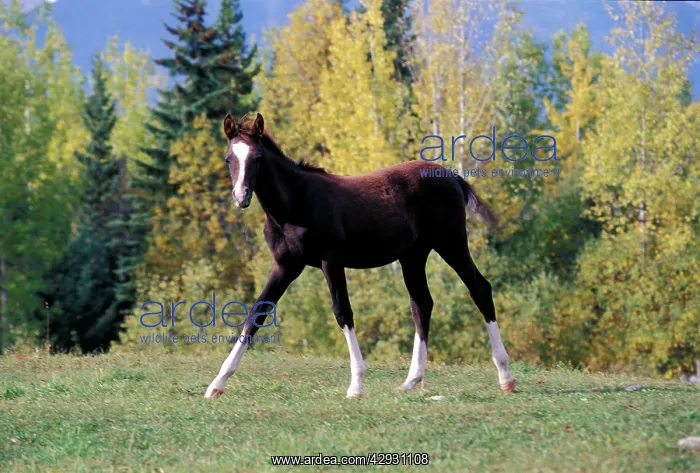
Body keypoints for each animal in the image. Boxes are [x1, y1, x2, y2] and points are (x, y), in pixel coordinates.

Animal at [204, 113, 515, 399]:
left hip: (451, 243)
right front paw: (217, 384)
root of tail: (451, 176)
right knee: (422, 304)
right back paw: (411, 381)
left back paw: (505, 376)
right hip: (413, 256)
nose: (241, 197)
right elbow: (256, 313)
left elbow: (343, 312)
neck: (294, 205)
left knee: (479, 288)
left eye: (257, 158)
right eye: (228, 158)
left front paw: (356, 385)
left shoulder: (331, 261)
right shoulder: (285, 265)